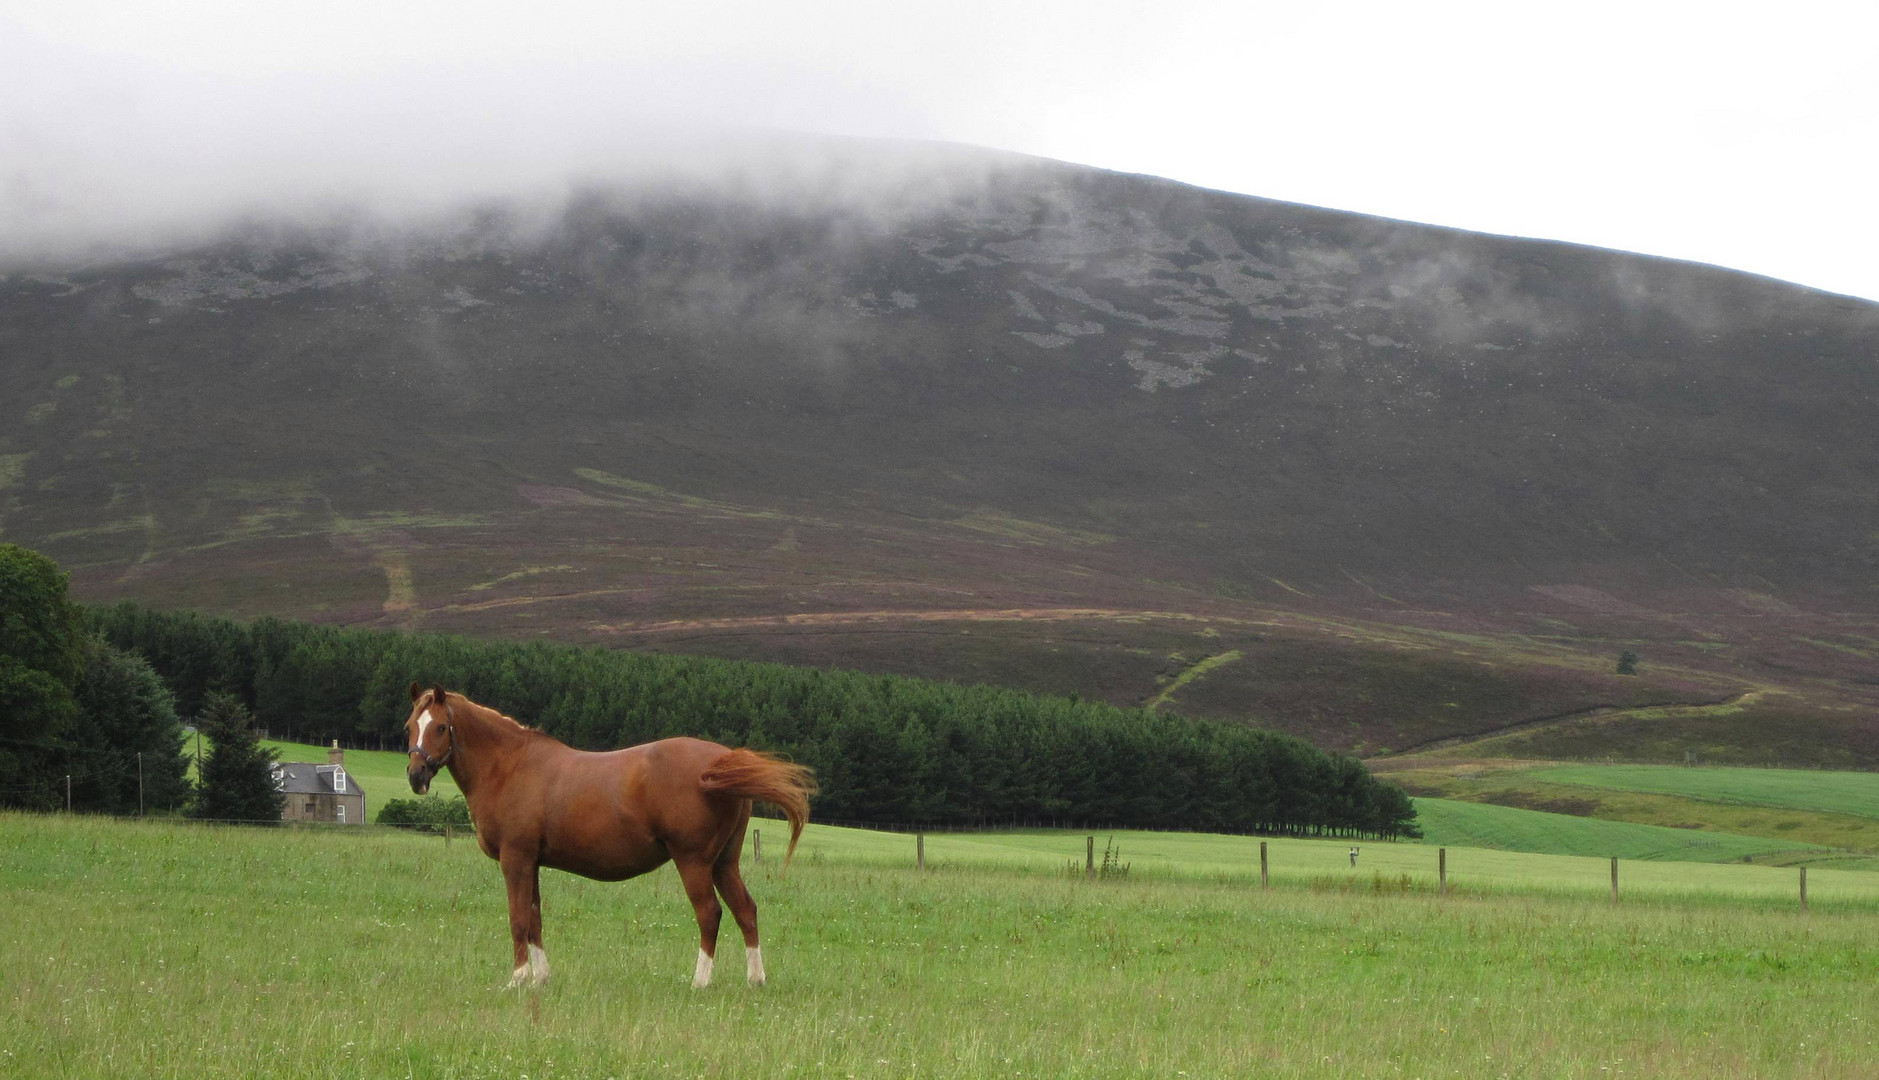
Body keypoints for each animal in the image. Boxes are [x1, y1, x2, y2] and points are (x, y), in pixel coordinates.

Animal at [403, 683, 815, 991]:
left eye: (440, 727)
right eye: (410, 726)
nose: (416, 775)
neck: (510, 766)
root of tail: (719, 763)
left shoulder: (515, 860)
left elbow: (518, 918)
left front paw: (518, 980)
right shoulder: (532, 863)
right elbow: (535, 919)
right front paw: (541, 978)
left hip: (694, 862)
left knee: (709, 913)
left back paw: (700, 982)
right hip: (724, 863)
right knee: (746, 910)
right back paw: (755, 980)